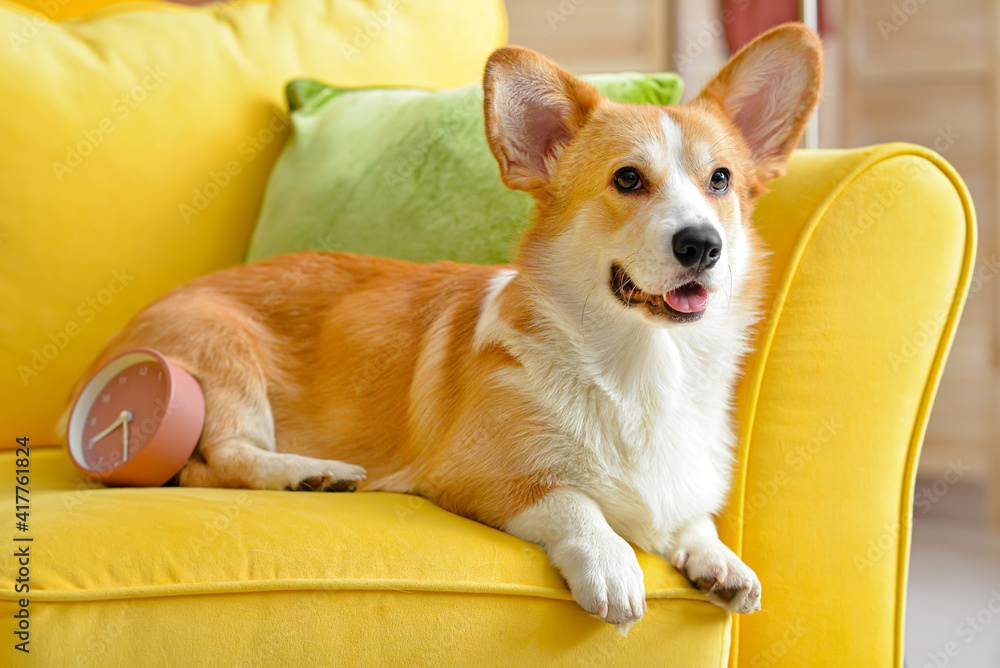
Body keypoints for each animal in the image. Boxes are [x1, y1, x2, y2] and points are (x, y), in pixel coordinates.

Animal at [60, 24, 820, 632]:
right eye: (628, 179)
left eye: (721, 180)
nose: (702, 246)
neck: (643, 369)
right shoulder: (476, 477)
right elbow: (572, 500)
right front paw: (613, 565)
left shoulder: (674, 494)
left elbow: (692, 521)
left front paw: (720, 561)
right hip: (219, 357)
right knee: (222, 458)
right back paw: (312, 473)